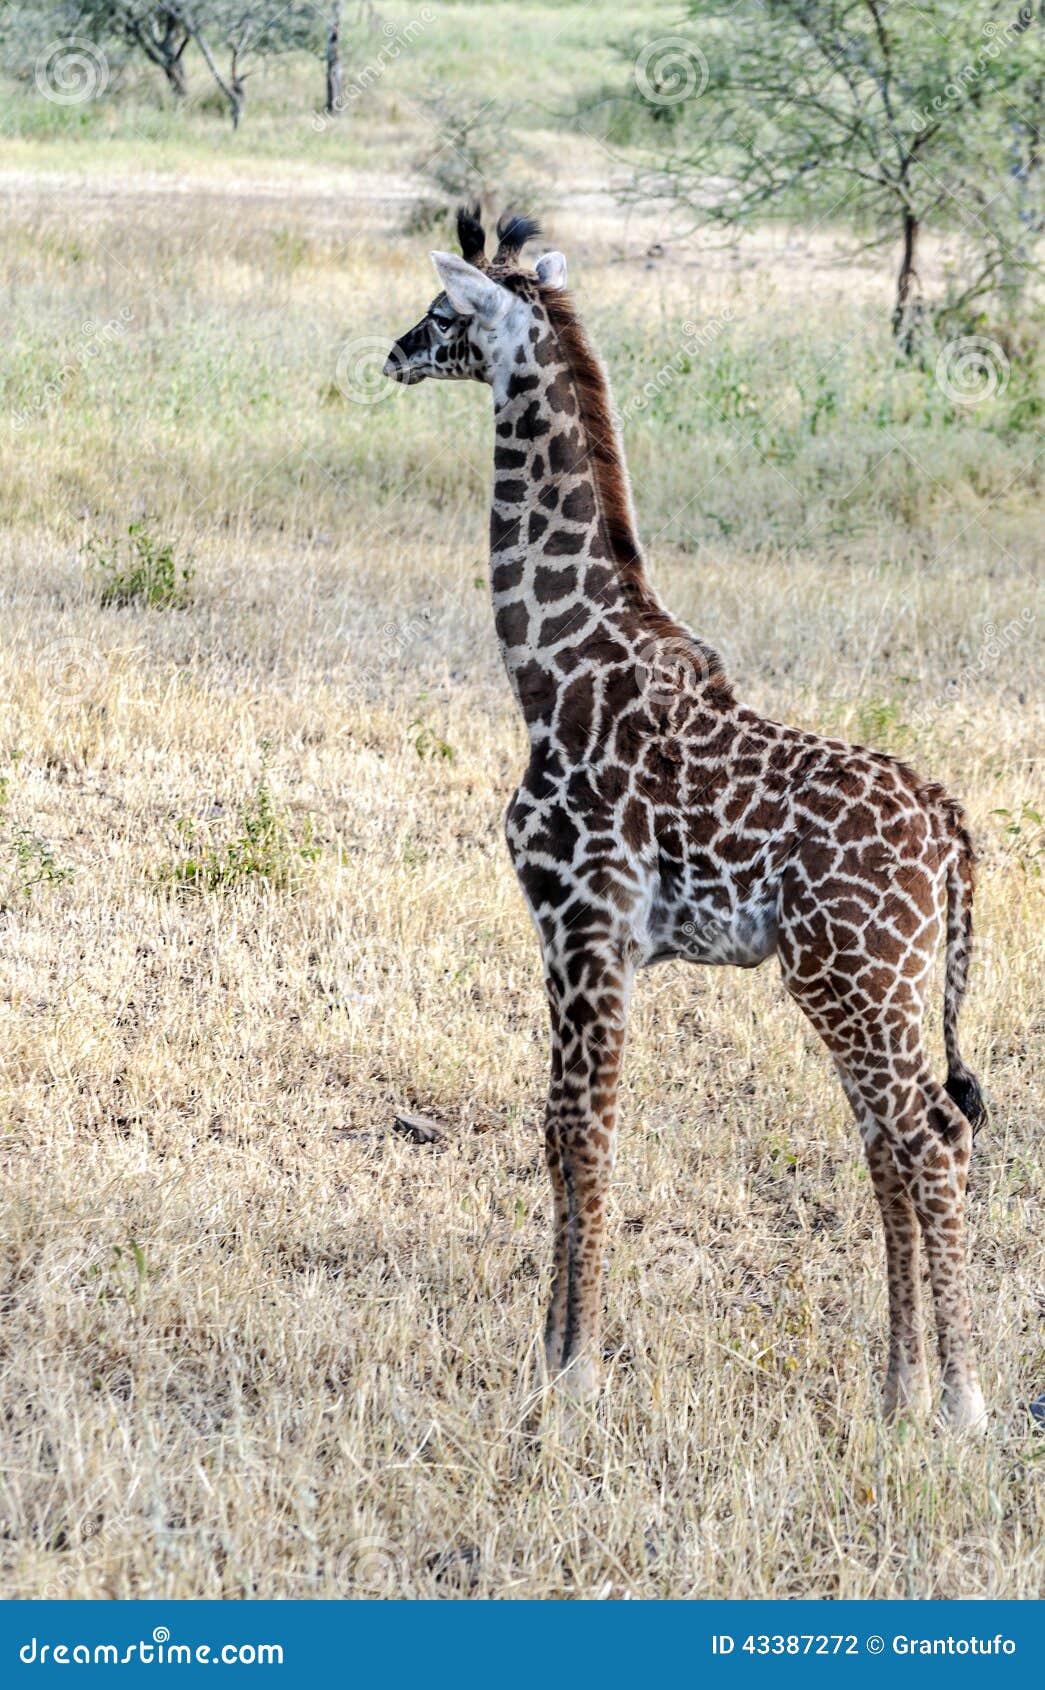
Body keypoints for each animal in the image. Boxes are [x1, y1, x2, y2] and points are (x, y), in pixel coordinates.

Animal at [383, 209, 989, 1431]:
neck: (552, 671)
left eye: (442, 310)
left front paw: (570, 1367)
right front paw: (555, 1353)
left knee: (932, 1138)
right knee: (890, 1144)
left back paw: (961, 1405)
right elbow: (561, 1129)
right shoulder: (585, 940)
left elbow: (579, 1130)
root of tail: (951, 836)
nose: (393, 352)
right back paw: (896, 1391)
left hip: (855, 982)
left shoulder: (583, 925)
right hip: (874, 987)